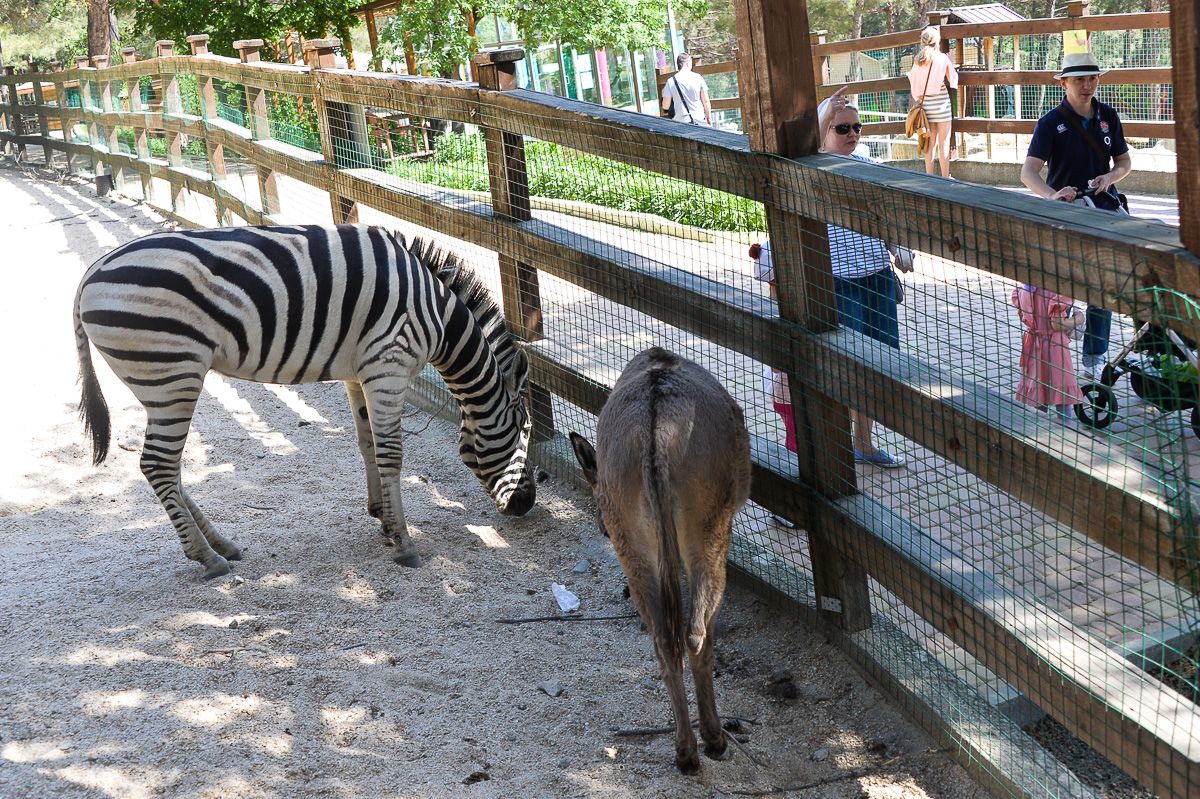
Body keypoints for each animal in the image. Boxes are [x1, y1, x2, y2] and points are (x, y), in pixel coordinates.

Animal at [73, 220, 535, 575]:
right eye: (525, 431)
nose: (527, 504)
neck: (438, 316)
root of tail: (90, 273)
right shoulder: (389, 365)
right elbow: (391, 454)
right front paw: (404, 541)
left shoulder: (360, 373)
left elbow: (367, 444)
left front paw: (382, 519)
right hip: (172, 376)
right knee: (158, 465)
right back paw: (207, 557)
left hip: (161, 385)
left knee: (168, 468)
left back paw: (221, 544)